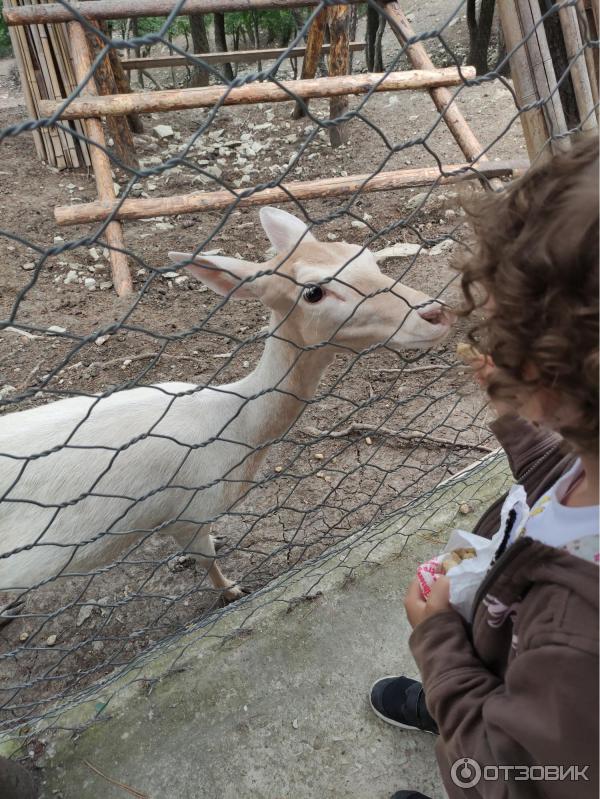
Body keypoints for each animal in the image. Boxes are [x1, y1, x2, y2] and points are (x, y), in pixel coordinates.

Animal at [0, 209, 450, 604]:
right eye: (313, 291)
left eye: (367, 256)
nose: (435, 313)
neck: (235, 433)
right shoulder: (188, 511)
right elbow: (207, 559)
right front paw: (232, 590)